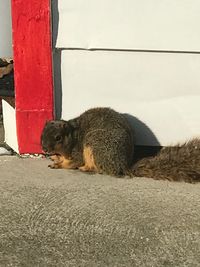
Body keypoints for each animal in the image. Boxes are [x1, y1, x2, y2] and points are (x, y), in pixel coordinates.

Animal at [40, 108, 200, 183]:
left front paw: (58, 164)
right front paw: (56, 158)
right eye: (42, 133)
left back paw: (85, 168)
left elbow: (73, 162)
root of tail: (123, 165)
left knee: (98, 168)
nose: (44, 149)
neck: (73, 136)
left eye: (58, 137)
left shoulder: (77, 151)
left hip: (94, 144)